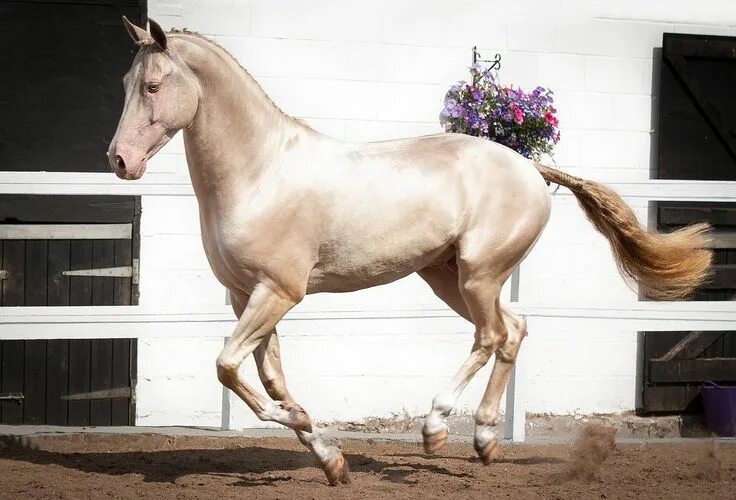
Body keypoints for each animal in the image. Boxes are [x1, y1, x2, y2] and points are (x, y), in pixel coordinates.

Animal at [109, 18, 712, 484]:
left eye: (155, 86)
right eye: (126, 82)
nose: (119, 160)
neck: (260, 172)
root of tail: (532, 169)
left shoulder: (279, 292)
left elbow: (229, 367)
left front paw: (306, 429)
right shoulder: (247, 296)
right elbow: (268, 377)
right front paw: (329, 456)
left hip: (477, 274)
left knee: (491, 336)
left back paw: (436, 429)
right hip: (447, 277)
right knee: (513, 331)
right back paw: (485, 440)